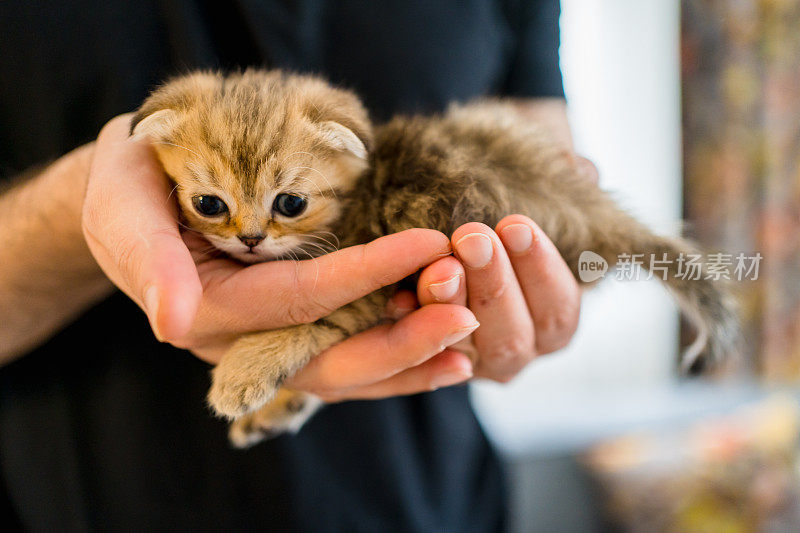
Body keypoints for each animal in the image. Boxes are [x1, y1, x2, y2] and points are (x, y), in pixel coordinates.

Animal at [130, 68, 736, 446]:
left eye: (290, 203)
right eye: (210, 205)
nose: (251, 239)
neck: (355, 196)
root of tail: (589, 209)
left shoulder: (363, 289)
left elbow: (308, 322)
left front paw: (242, 372)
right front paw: (272, 404)